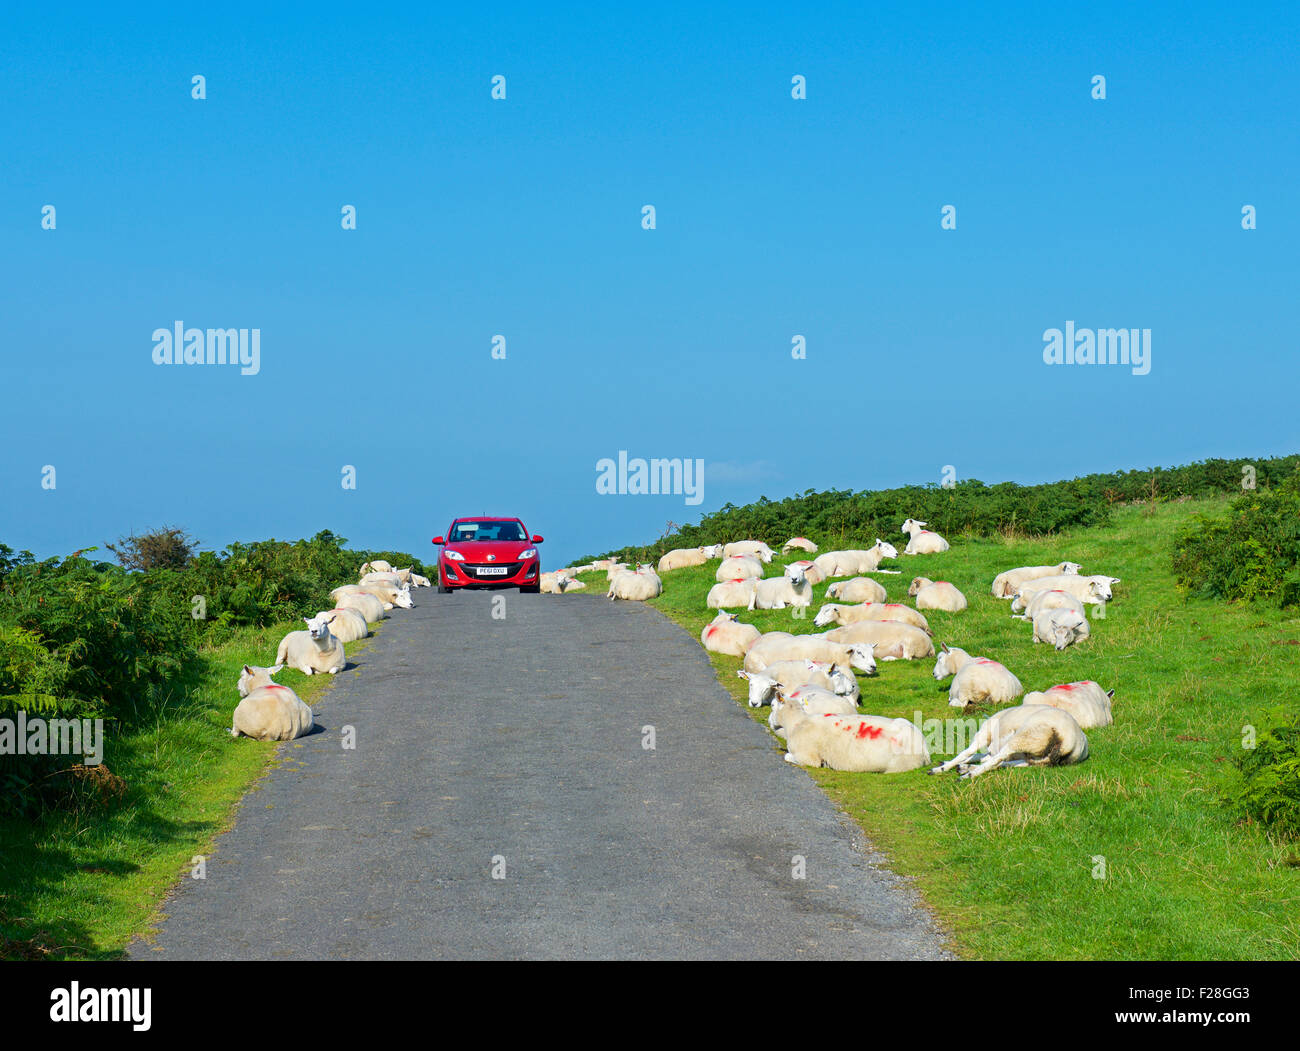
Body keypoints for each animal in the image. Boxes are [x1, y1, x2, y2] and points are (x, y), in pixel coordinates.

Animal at [930, 702, 1092, 775]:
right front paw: (953, 764)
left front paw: (942, 767)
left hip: (1025, 737)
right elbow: (978, 756)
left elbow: (967, 752)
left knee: (998, 759)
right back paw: (966, 769)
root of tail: (1070, 743)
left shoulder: (984, 736)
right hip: (1038, 758)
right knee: (1006, 763)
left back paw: (969, 774)